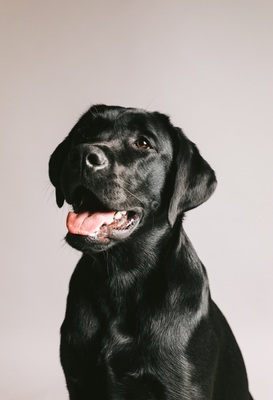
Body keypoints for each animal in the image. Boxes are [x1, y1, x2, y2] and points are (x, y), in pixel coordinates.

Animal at [48, 105, 251, 400]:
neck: (121, 278)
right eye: (84, 133)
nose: (83, 155)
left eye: (143, 143)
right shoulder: (79, 381)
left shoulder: (181, 387)